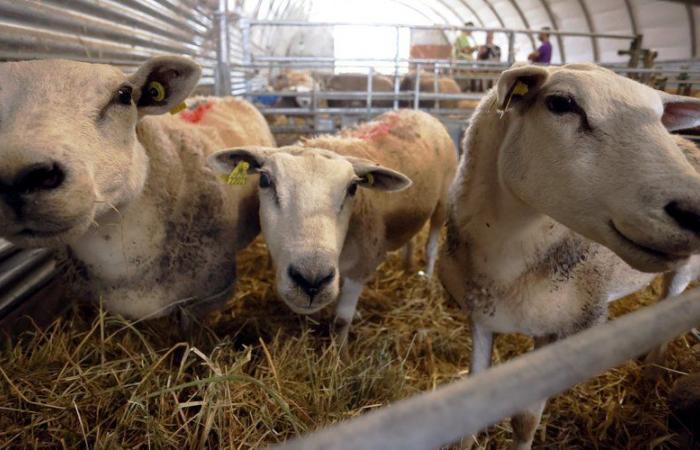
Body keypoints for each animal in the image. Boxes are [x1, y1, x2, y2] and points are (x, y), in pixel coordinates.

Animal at [211, 109, 456, 344]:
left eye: (353, 188)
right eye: (264, 181)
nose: (311, 281)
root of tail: (420, 113)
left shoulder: (362, 265)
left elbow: (341, 321)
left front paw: (340, 351)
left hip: (443, 200)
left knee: (431, 246)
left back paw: (427, 278)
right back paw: (407, 264)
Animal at [440, 63, 700, 450]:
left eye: (659, 119)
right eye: (561, 104)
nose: (696, 211)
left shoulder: (564, 330)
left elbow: (525, 420)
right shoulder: (480, 317)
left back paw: (652, 372)